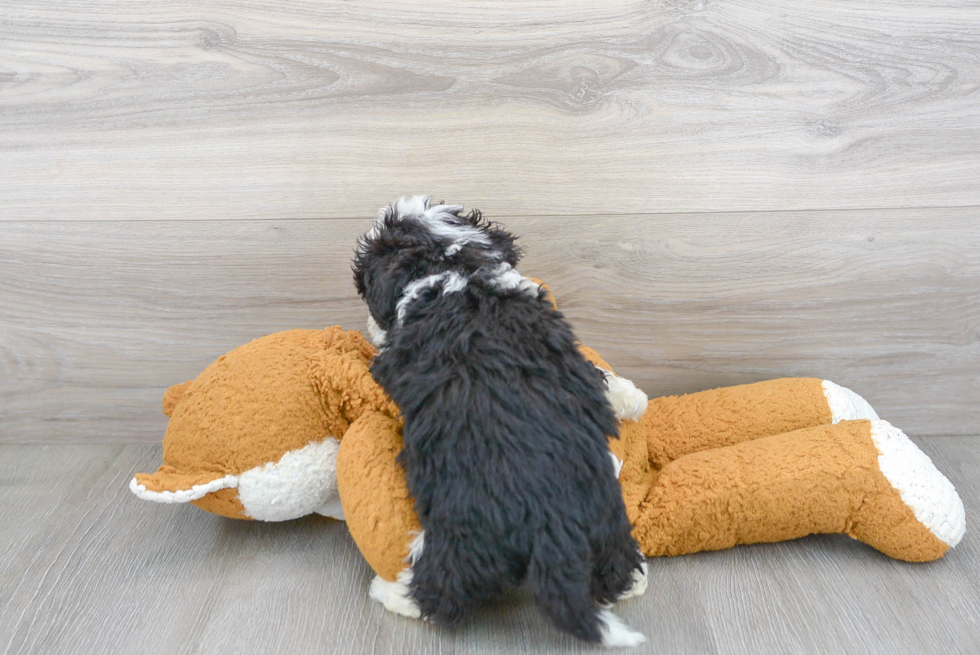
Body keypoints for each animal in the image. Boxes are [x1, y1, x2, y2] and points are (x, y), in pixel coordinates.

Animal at [352, 197, 652, 648]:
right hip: (607, 519)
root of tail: (551, 522)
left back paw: (390, 592)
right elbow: (596, 373)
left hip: (463, 537)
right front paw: (630, 399)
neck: (454, 268)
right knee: (615, 565)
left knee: (443, 591)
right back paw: (633, 581)